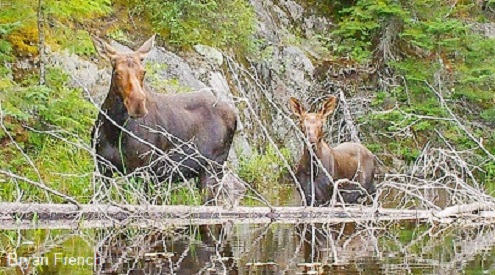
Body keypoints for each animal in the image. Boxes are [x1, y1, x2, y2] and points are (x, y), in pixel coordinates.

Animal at [91, 35, 238, 205]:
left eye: (143, 72)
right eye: (117, 73)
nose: (138, 104)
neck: (114, 131)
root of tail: (235, 117)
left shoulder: (144, 171)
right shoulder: (102, 166)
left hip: (213, 168)